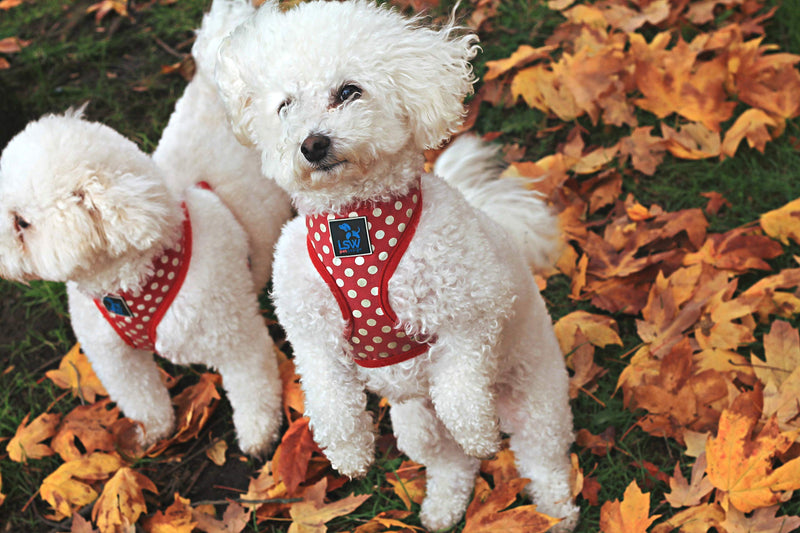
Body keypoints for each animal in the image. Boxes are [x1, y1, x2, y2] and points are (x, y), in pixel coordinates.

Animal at [0, 0, 290, 458]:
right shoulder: (113, 357)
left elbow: (253, 387)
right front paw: (153, 431)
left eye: (20, 222)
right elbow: (140, 396)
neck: (127, 283)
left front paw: (259, 436)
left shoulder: (234, 336)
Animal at [217, 0, 580, 528]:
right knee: (451, 462)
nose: (312, 144)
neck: (356, 226)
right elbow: (330, 402)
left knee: (541, 454)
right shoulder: (311, 336)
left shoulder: (473, 313)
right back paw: (444, 506)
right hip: (416, 426)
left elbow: (461, 393)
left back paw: (556, 509)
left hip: (538, 395)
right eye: (285, 105)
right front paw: (350, 453)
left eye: (349, 91)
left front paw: (480, 433)